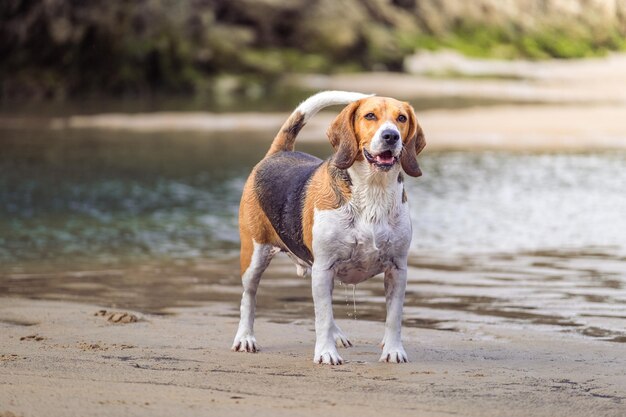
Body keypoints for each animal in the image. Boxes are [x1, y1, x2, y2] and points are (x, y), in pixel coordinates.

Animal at [232, 90, 426, 364]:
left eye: (401, 118)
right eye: (370, 116)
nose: (391, 136)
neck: (373, 190)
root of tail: (278, 153)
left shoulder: (397, 270)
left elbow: (393, 318)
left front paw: (393, 350)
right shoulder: (324, 267)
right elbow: (323, 316)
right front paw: (326, 353)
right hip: (255, 255)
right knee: (248, 297)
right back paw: (245, 338)